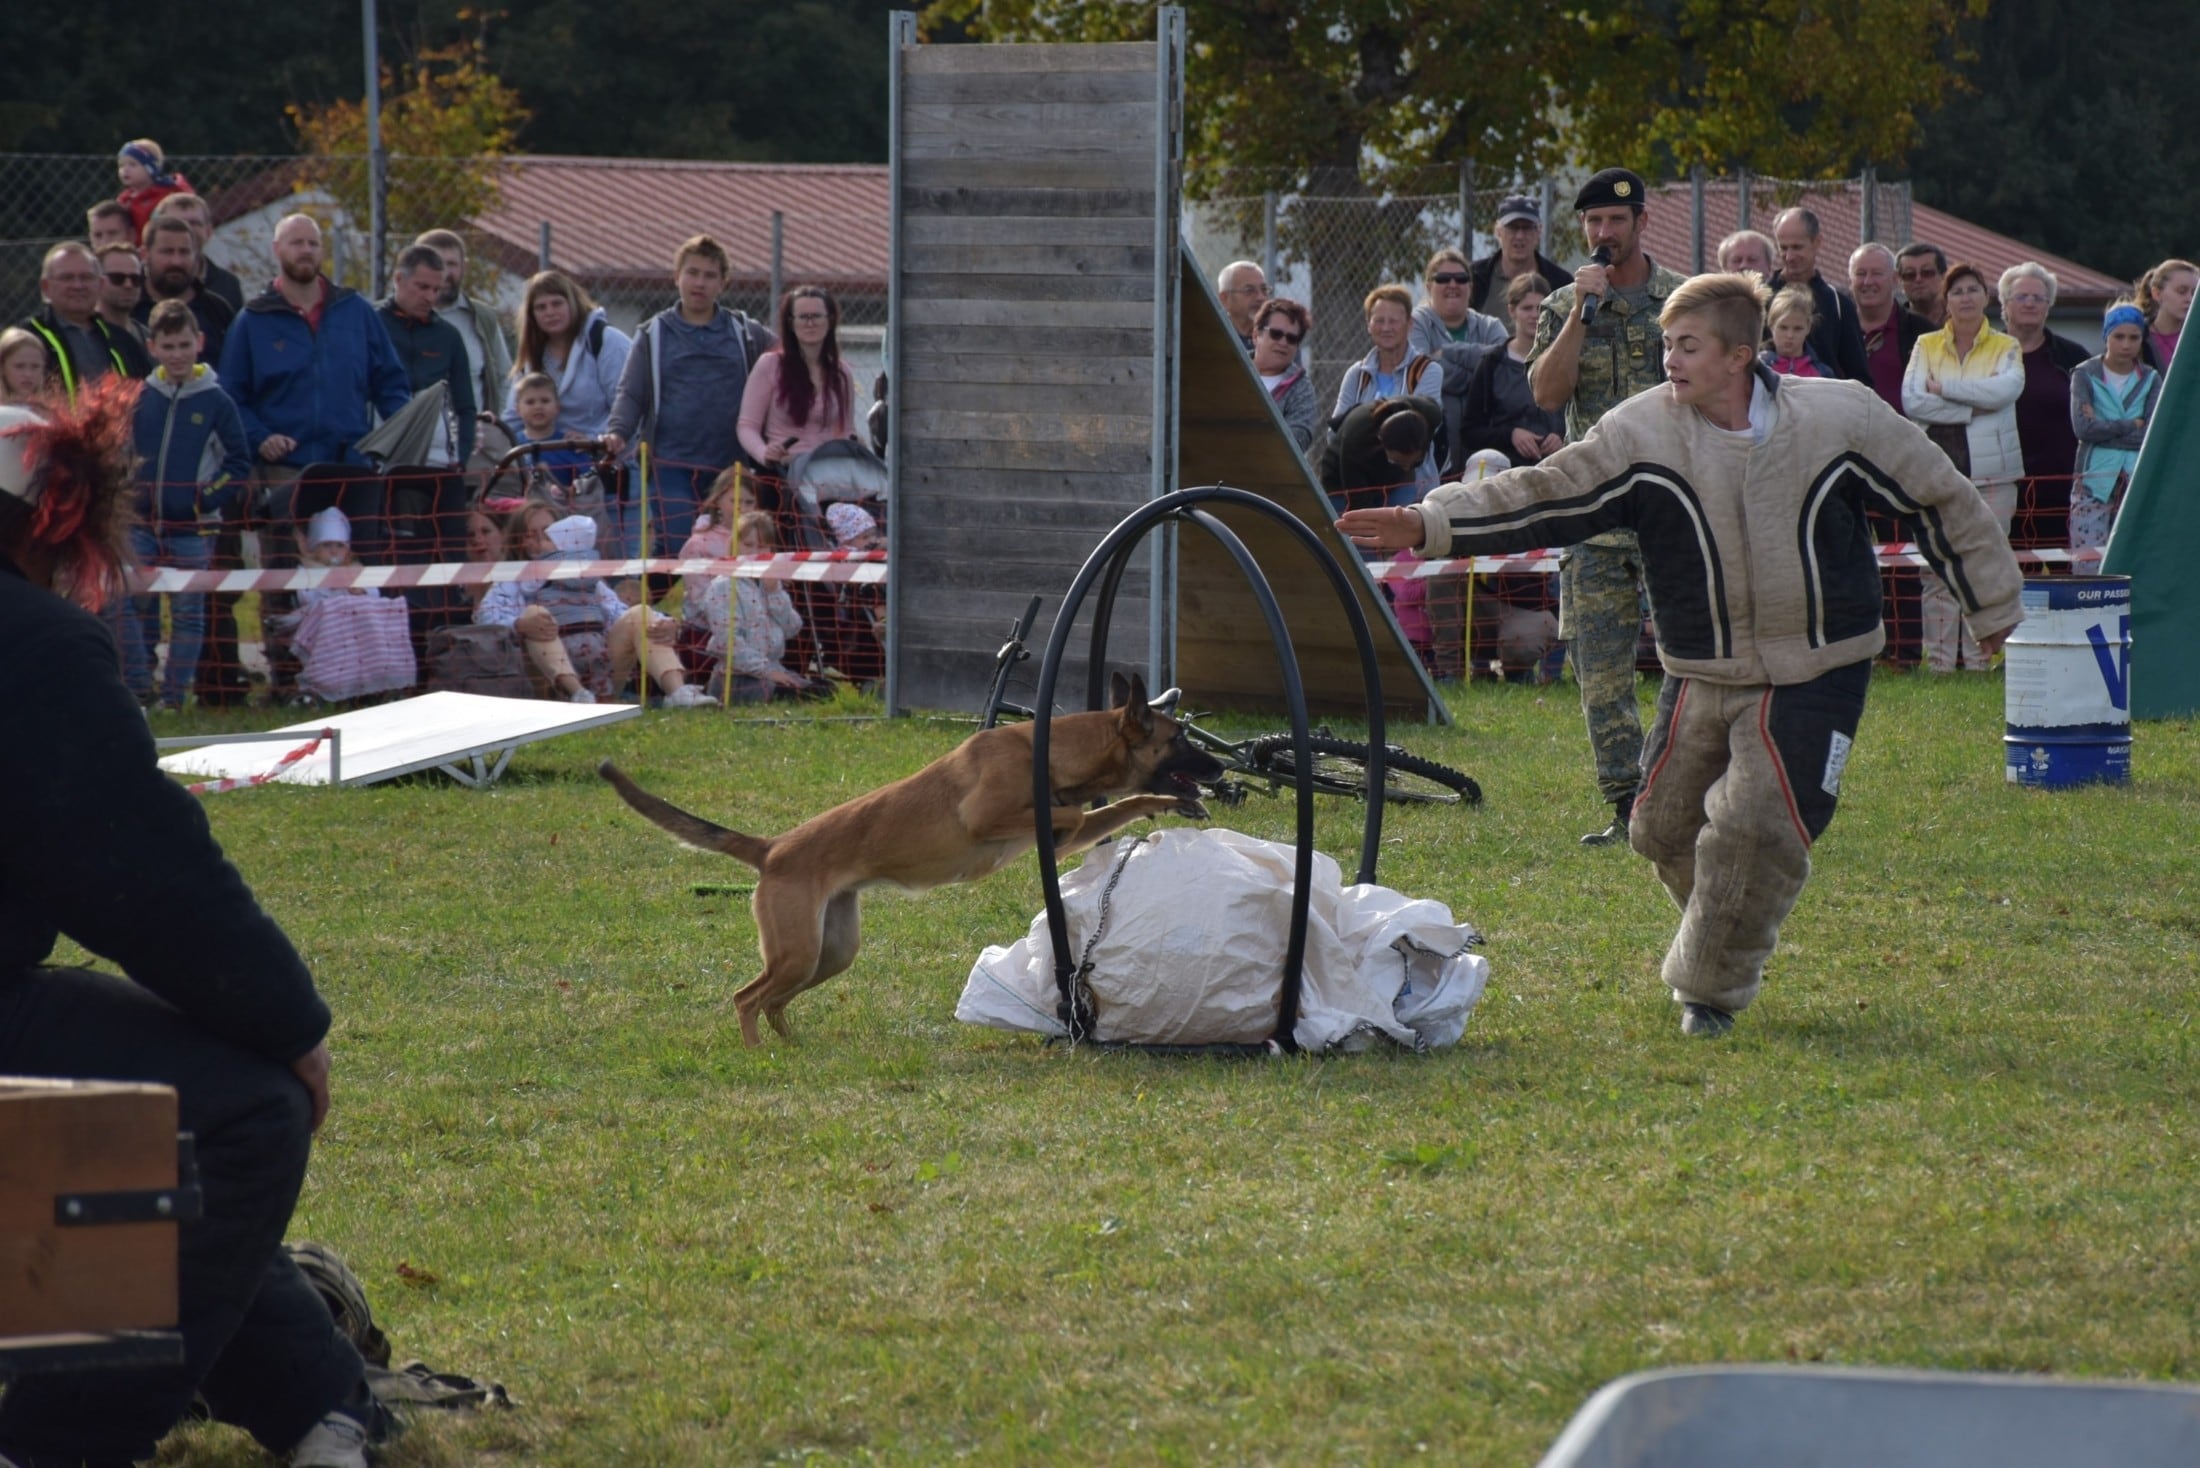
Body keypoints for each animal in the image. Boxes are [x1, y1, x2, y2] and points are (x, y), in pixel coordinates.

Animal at [598, 677, 1223, 1043]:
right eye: (1179, 739)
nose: (1219, 769)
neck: (1048, 755)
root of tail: (773, 848)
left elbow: (1125, 802)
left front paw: (1176, 804)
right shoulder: (989, 819)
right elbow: (1065, 815)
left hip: (828, 953)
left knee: (772, 1000)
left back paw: (791, 1048)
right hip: (798, 952)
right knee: (745, 998)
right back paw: (758, 1055)